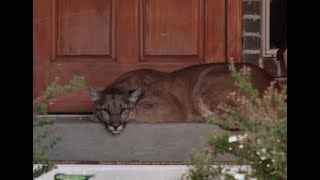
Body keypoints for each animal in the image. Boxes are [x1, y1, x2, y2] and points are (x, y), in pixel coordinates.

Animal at [88, 62, 280, 134]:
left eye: (123, 109)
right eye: (106, 110)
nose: (115, 126)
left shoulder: (169, 109)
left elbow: (138, 113)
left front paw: (95, 118)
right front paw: (95, 116)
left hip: (206, 81)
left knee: (239, 120)